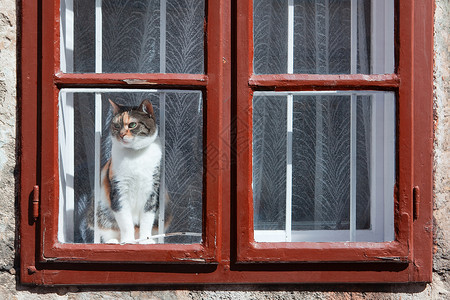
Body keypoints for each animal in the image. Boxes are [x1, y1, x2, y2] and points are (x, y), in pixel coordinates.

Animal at [85, 98, 163, 244]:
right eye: (116, 125)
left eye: (132, 124)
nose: (121, 134)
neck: (135, 155)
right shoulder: (118, 190)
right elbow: (125, 221)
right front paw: (128, 241)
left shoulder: (152, 190)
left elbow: (147, 219)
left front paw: (145, 240)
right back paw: (113, 241)